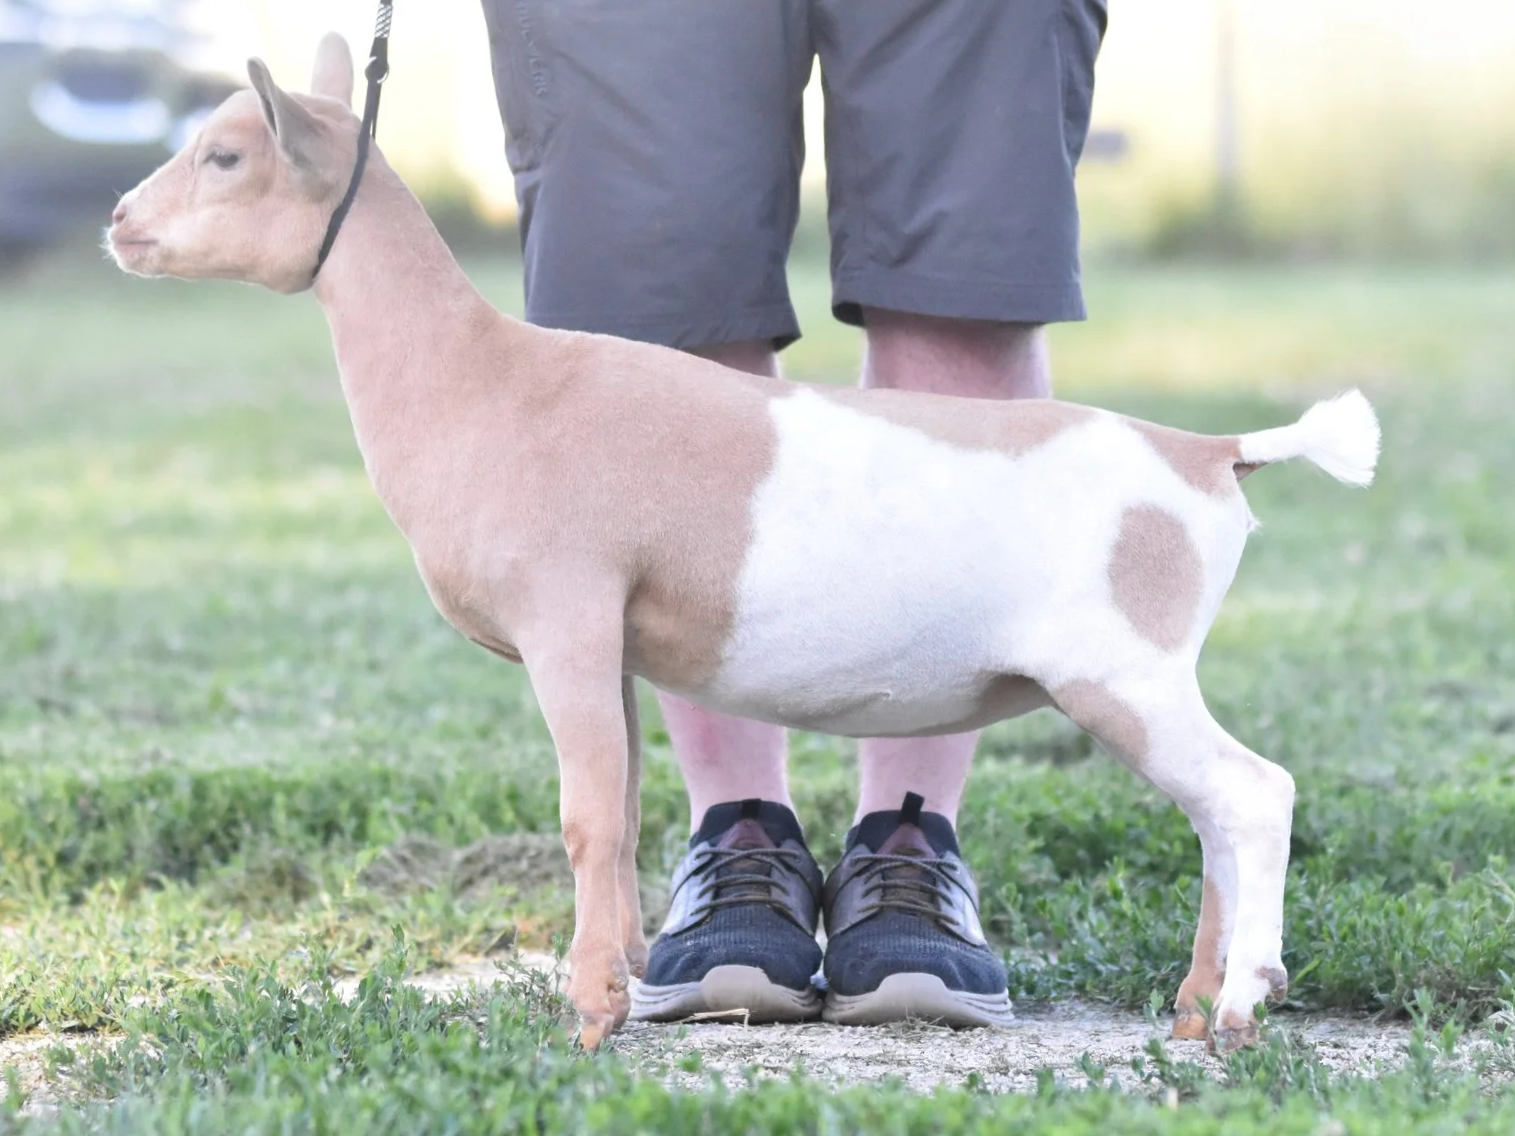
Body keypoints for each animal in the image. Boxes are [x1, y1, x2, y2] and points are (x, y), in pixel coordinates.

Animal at [107, 34, 1380, 1049]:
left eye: (226, 156)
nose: (120, 222)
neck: (490, 379)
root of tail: (1208, 454)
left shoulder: (568, 619)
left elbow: (585, 815)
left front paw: (589, 1016)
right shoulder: (612, 644)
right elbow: (621, 811)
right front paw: (625, 977)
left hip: (1124, 667)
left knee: (1252, 795)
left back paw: (1241, 1003)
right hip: (1150, 677)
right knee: (1216, 815)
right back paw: (1196, 1005)